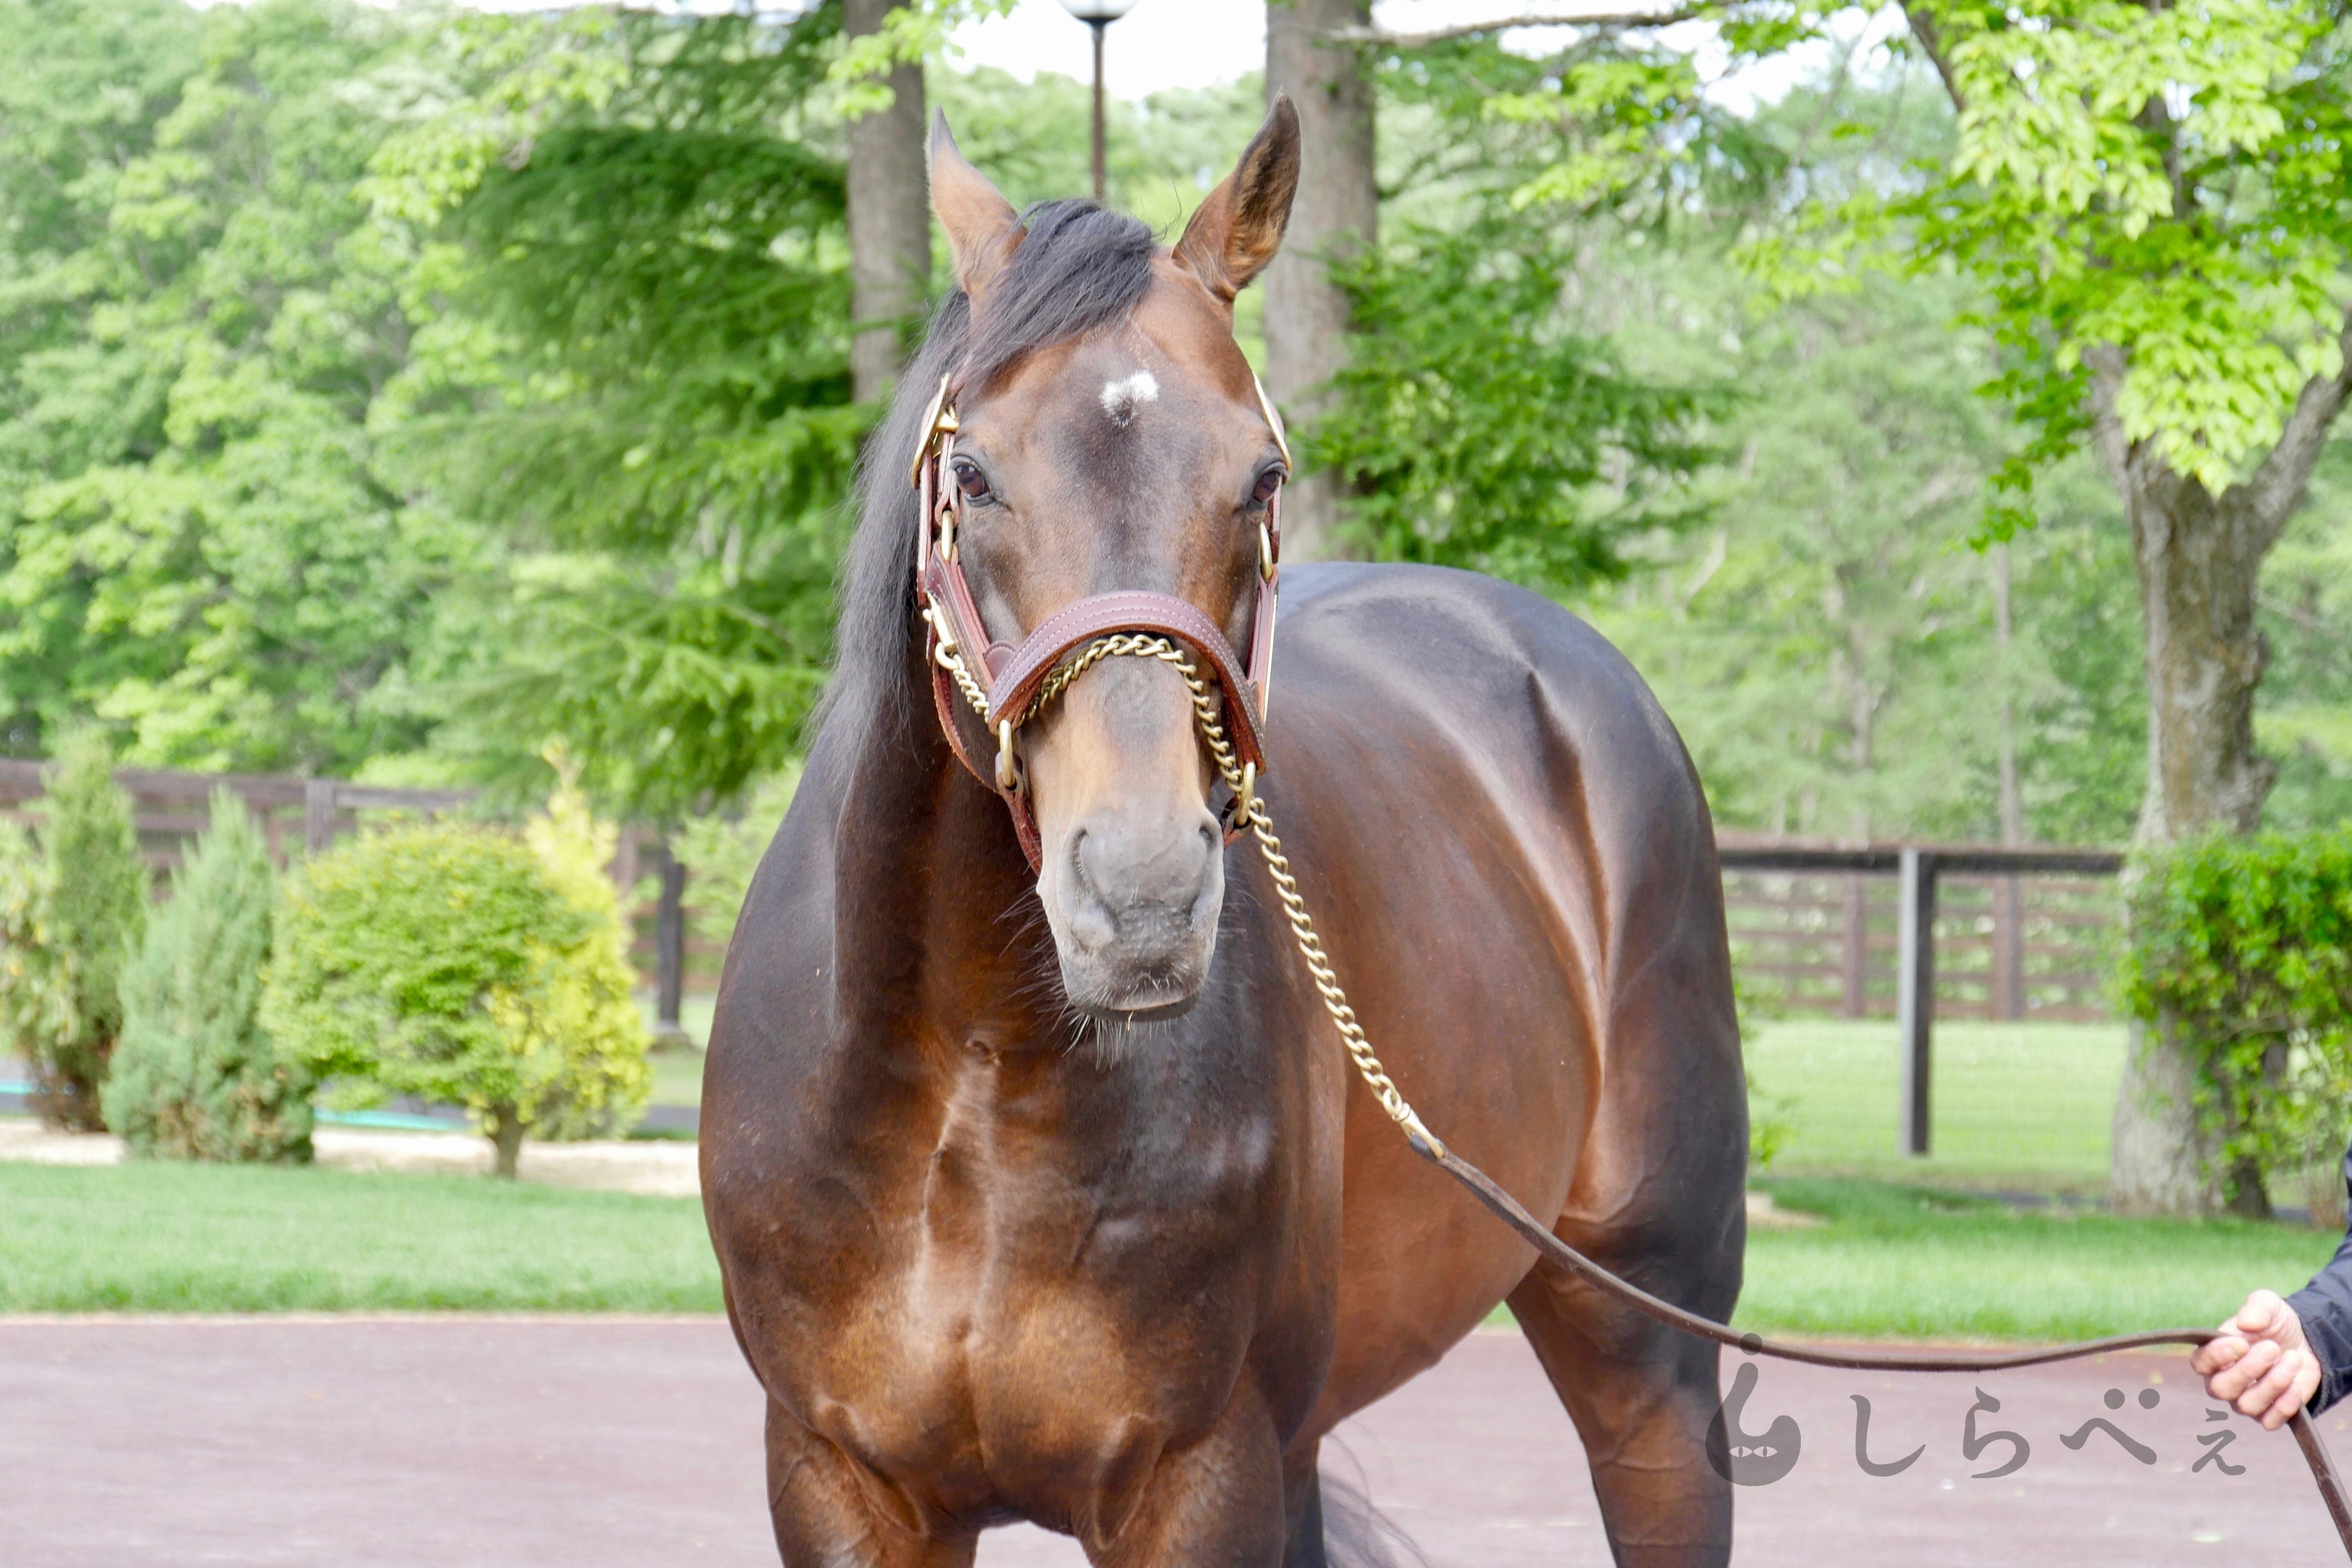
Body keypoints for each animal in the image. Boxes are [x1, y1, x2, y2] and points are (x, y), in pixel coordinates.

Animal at [696, 101, 1750, 1568]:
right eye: (973, 471)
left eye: (1259, 474)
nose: (1139, 900)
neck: (969, 1075)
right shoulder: (839, 1479)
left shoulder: (1201, 1479)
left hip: (1647, 1354)